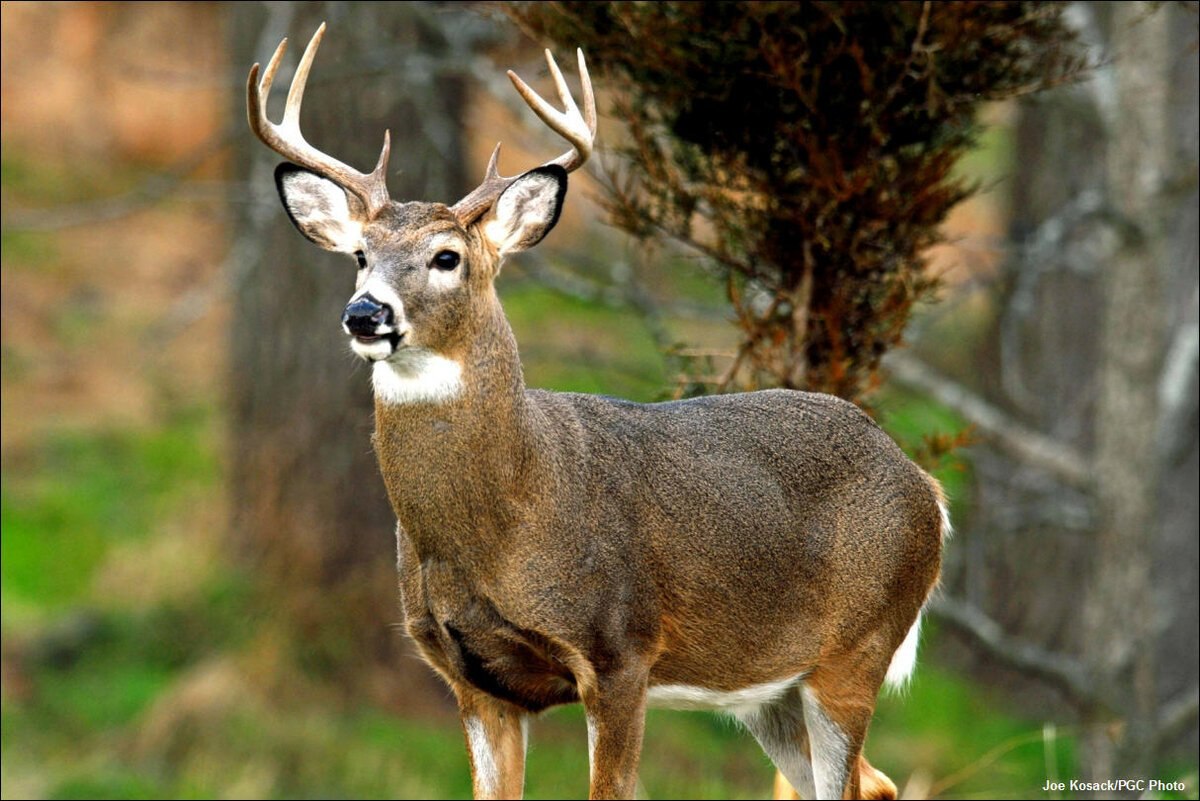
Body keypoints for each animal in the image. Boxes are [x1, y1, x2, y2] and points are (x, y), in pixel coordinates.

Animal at [250, 25, 945, 801]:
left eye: (447, 256)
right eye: (360, 255)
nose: (365, 313)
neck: (504, 517)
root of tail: (925, 485)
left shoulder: (619, 651)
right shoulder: (472, 678)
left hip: (858, 645)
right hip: (769, 688)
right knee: (872, 782)